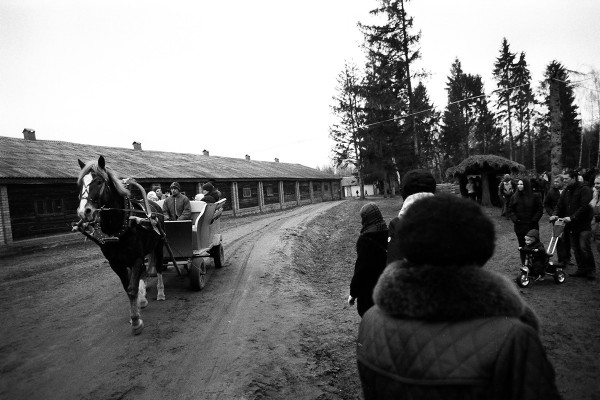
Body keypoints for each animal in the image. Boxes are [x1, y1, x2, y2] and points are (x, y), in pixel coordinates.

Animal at [75, 155, 166, 335]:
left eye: (99, 181)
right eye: (81, 183)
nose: (84, 212)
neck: (118, 227)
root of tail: (156, 207)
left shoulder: (136, 257)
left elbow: (131, 288)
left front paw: (136, 321)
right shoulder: (116, 263)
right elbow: (128, 286)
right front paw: (136, 310)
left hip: (158, 245)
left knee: (158, 267)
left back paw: (160, 292)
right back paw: (143, 298)